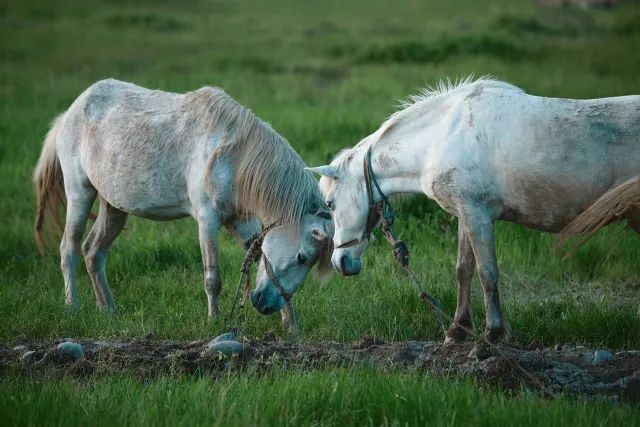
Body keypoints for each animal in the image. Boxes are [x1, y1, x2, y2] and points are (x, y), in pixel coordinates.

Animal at [33, 80, 336, 334]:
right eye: (302, 257)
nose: (264, 305)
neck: (234, 158)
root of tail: (69, 113)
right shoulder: (207, 220)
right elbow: (213, 277)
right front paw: (215, 322)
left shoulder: (241, 221)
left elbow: (262, 257)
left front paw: (292, 326)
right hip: (79, 193)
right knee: (69, 249)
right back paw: (72, 307)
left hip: (114, 207)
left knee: (93, 251)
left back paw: (108, 309)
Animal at [312, 77, 640, 344]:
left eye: (330, 204)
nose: (340, 262)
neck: (441, 138)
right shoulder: (465, 216)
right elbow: (463, 271)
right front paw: (457, 330)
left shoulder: (478, 215)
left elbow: (487, 273)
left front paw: (493, 334)